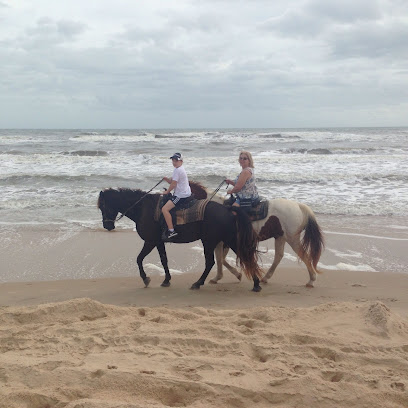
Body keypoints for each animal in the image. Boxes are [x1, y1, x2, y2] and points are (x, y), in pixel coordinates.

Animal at [97, 186, 262, 292]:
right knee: (242, 257)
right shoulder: (159, 242)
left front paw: (146, 279)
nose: (107, 225)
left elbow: (139, 259)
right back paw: (255, 283)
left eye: (102, 207)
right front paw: (166, 280)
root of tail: (227, 209)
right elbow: (163, 260)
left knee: (212, 262)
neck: (143, 208)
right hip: (227, 239)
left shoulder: (150, 241)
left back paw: (198, 283)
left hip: (210, 241)